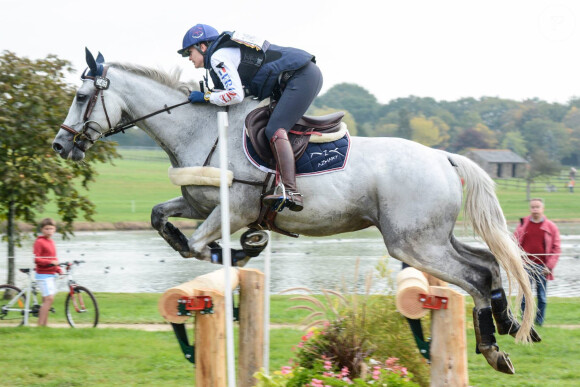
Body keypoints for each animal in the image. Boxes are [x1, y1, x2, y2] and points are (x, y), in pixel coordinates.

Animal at [54, 50, 540, 374]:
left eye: (80, 96)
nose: (60, 146)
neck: (200, 130)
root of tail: (443, 157)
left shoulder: (234, 208)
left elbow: (195, 245)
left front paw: (246, 248)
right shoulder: (197, 203)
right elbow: (161, 218)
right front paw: (240, 248)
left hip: (412, 242)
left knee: (474, 276)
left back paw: (494, 346)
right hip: (434, 237)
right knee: (488, 264)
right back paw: (509, 325)